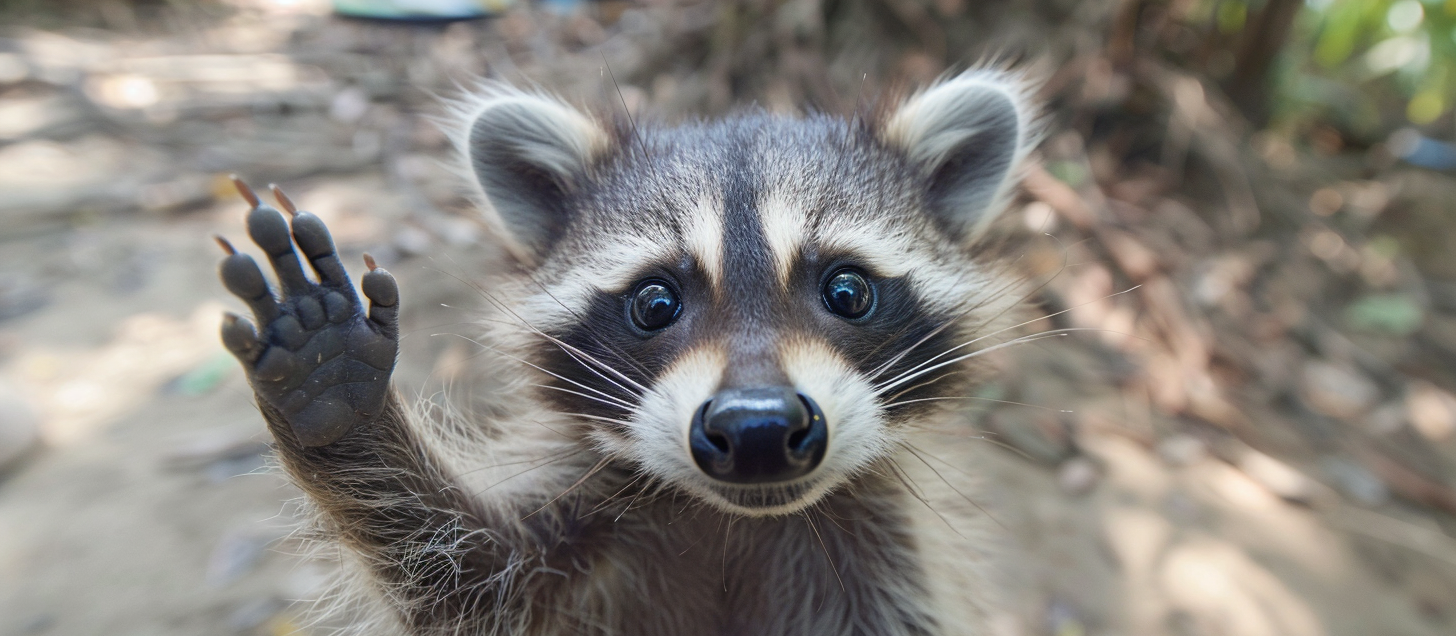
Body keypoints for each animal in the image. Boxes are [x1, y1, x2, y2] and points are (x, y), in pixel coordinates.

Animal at [212, 69, 1036, 634]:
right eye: (655, 303)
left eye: (848, 291)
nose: (758, 429)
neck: (737, 520)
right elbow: (459, 578)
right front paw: (337, 399)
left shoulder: (887, 562)